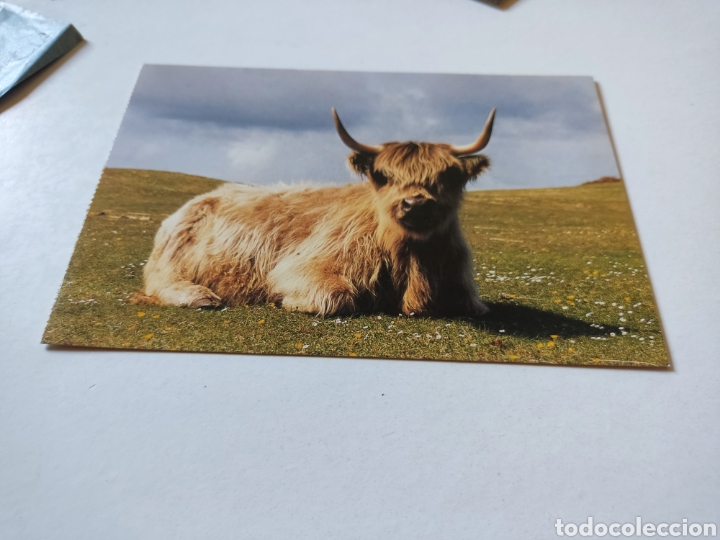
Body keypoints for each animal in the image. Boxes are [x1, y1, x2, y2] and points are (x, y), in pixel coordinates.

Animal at [137, 108, 496, 317]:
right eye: (382, 176)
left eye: (449, 176)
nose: (415, 204)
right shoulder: (301, 266)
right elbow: (336, 294)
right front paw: (291, 301)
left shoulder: (464, 289)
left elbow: (473, 305)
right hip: (173, 259)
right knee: (161, 281)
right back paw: (200, 296)